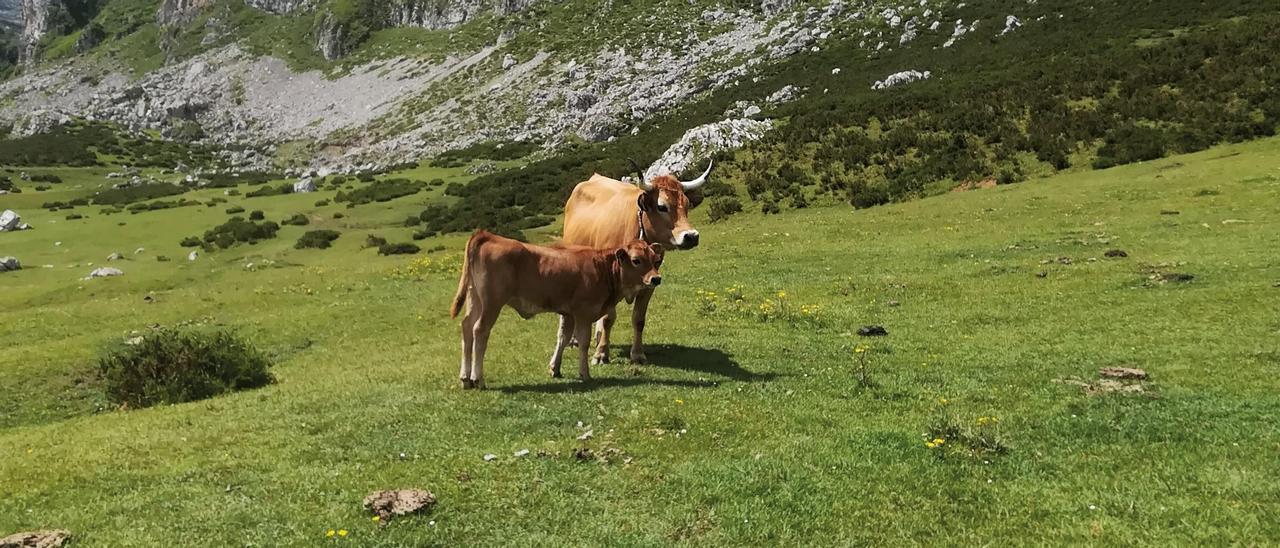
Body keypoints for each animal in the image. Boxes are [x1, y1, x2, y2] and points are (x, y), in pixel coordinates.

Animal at [450, 229, 665, 386]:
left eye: (655, 260)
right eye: (636, 260)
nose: (656, 278)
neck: (603, 269)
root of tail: (487, 235)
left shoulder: (568, 313)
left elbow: (563, 338)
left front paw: (555, 368)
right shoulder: (583, 312)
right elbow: (583, 342)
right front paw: (585, 373)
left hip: (475, 298)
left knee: (467, 327)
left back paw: (465, 378)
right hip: (491, 303)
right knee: (480, 330)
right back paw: (478, 378)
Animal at [563, 158, 716, 366]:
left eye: (686, 204)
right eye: (662, 206)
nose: (691, 236)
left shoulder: (649, 284)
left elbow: (638, 320)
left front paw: (637, 354)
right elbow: (609, 318)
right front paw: (601, 354)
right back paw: (574, 340)